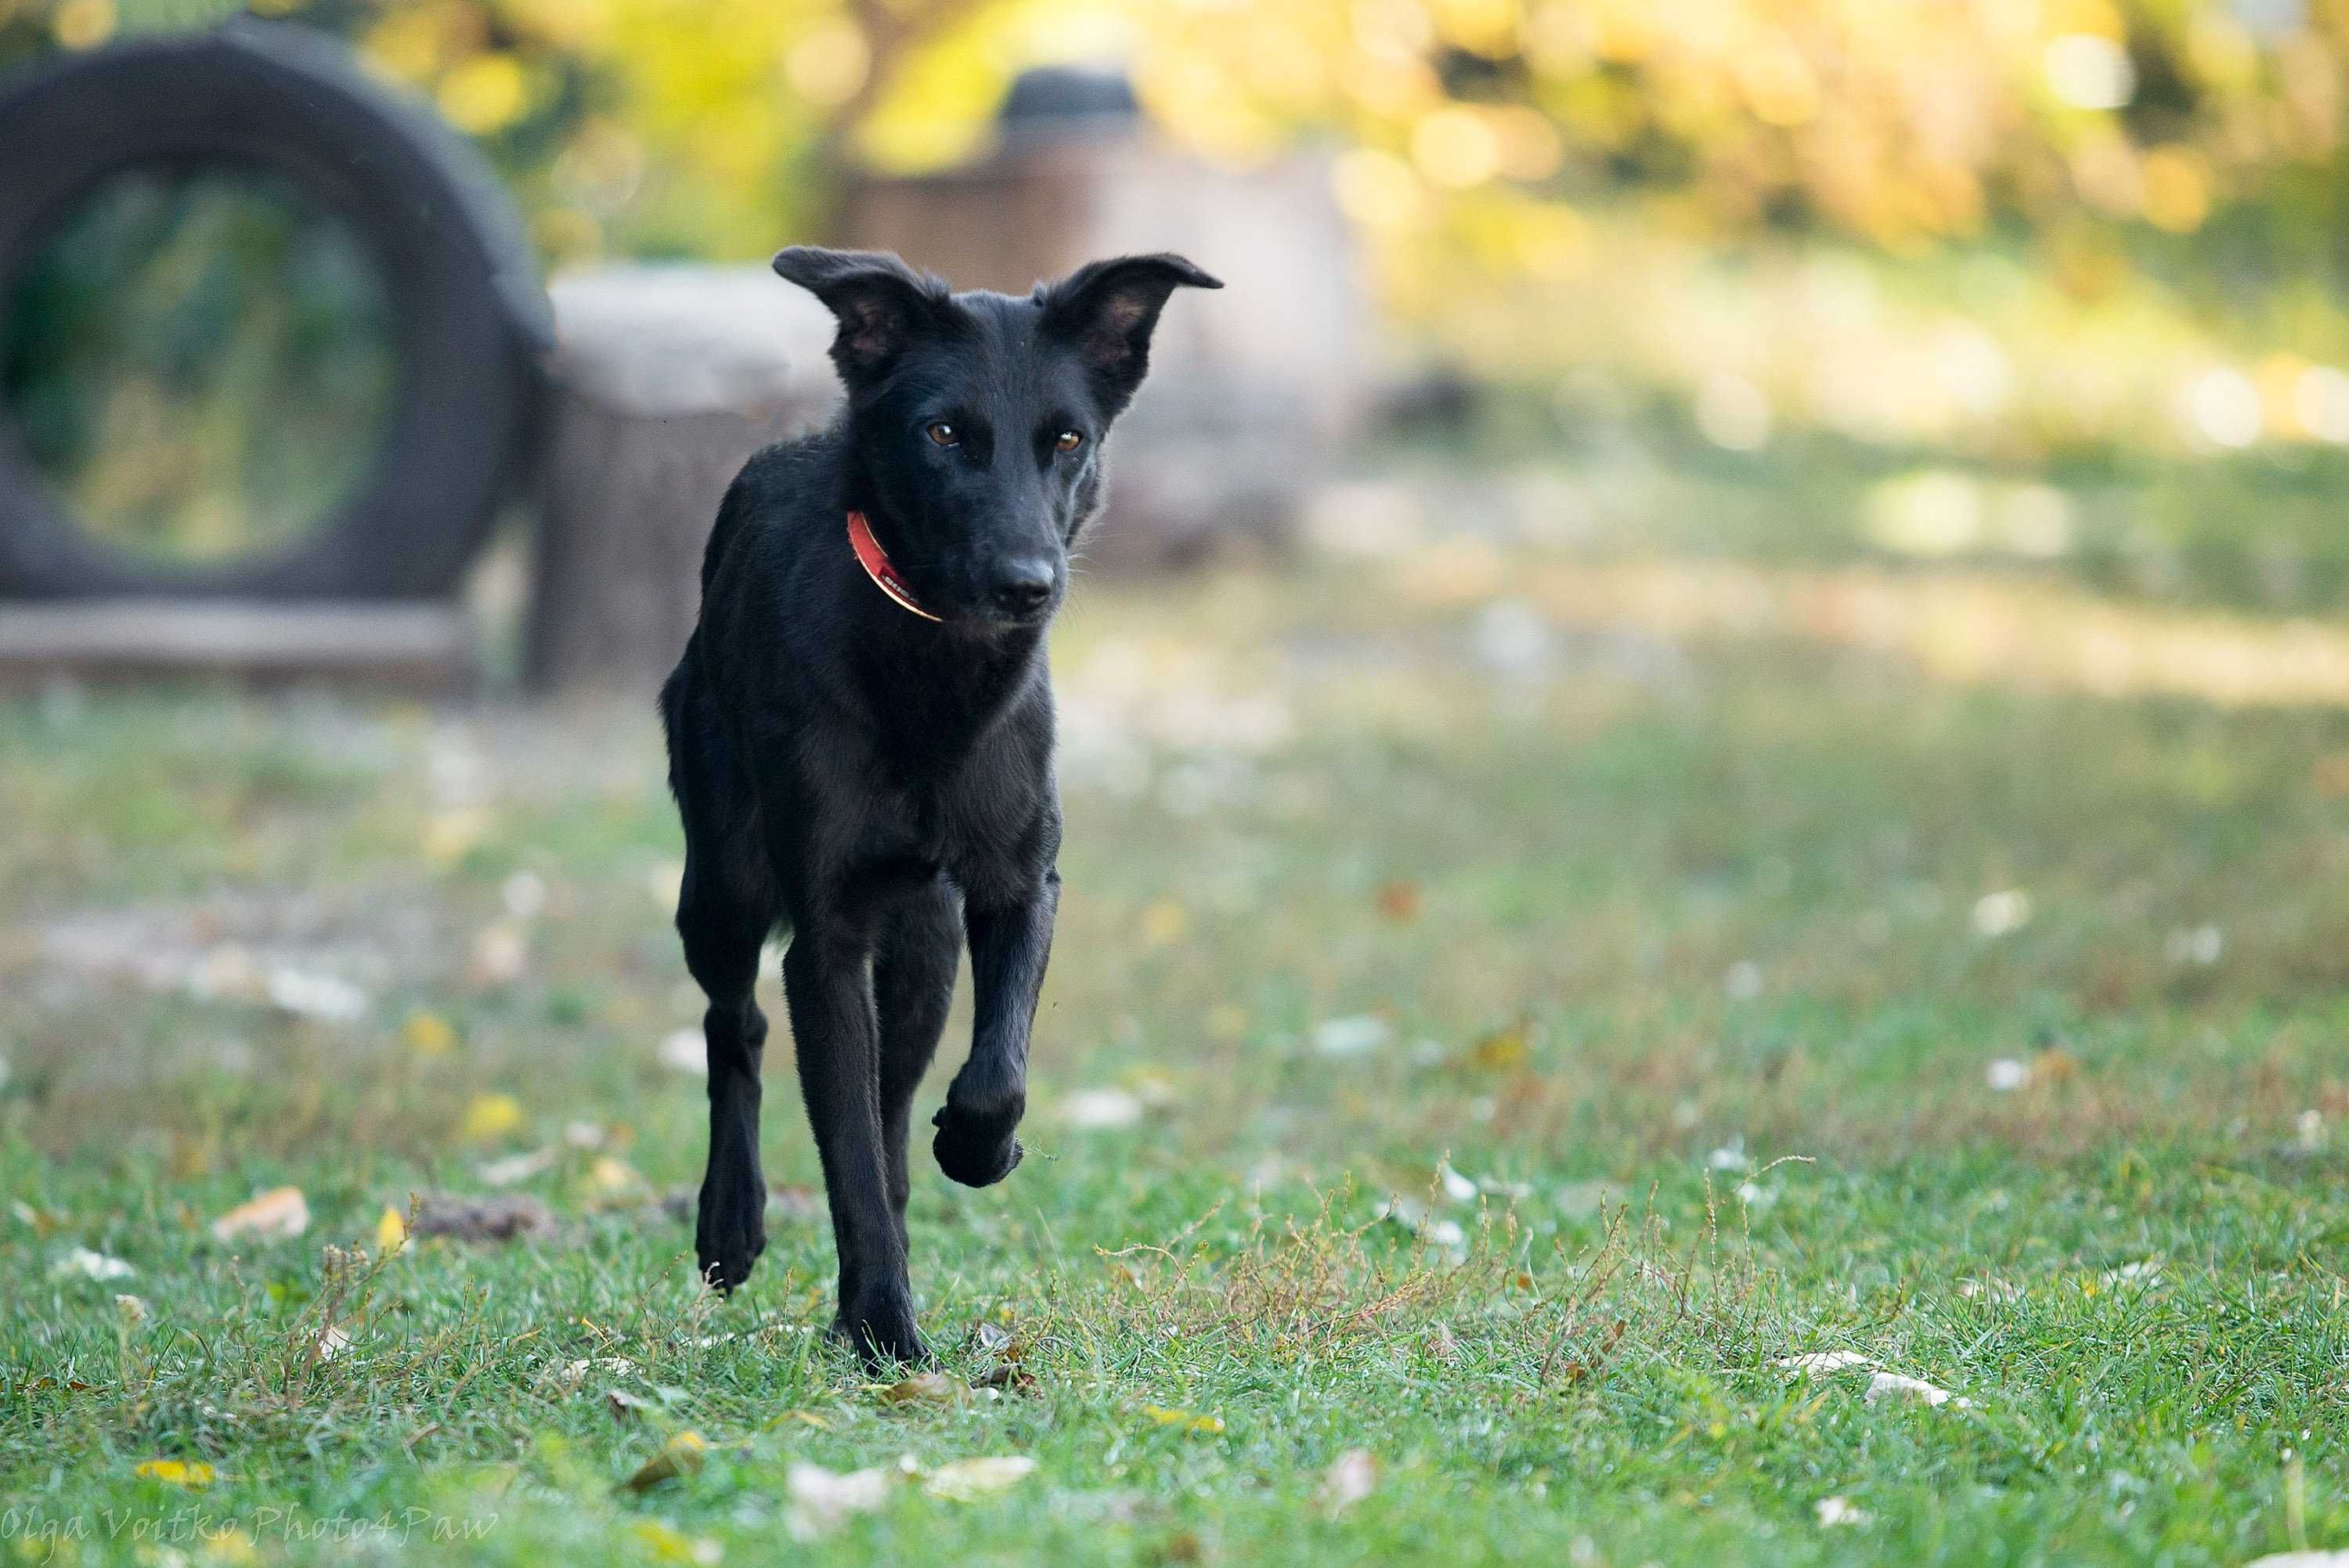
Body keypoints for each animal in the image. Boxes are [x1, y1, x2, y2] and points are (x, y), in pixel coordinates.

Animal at [658, 241, 1221, 1361]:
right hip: (724, 885)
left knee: (887, 1102)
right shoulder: (827, 940)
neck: (933, 679)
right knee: (736, 1024)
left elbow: (989, 1072)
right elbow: (844, 1153)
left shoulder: (1017, 883)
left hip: (922, 939)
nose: (1028, 583)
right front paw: (884, 1324)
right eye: (944, 433)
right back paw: (732, 1221)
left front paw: (977, 1148)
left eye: (1067, 439)